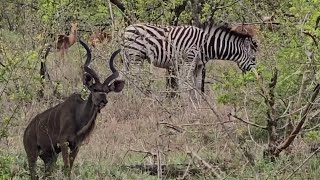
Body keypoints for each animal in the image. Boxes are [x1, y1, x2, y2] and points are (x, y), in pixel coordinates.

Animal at [120, 23, 258, 97]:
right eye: (253, 58)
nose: (257, 78)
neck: (205, 45)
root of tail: (126, 29)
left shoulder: (199, 65)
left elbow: (197, 85)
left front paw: (199, 105)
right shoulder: (189, 60)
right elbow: (185, 82)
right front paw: (187, 106)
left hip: (128, 58)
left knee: (125, 77)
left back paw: (127, 99)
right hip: (136, 56)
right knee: (135, 79)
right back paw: (138, 99)